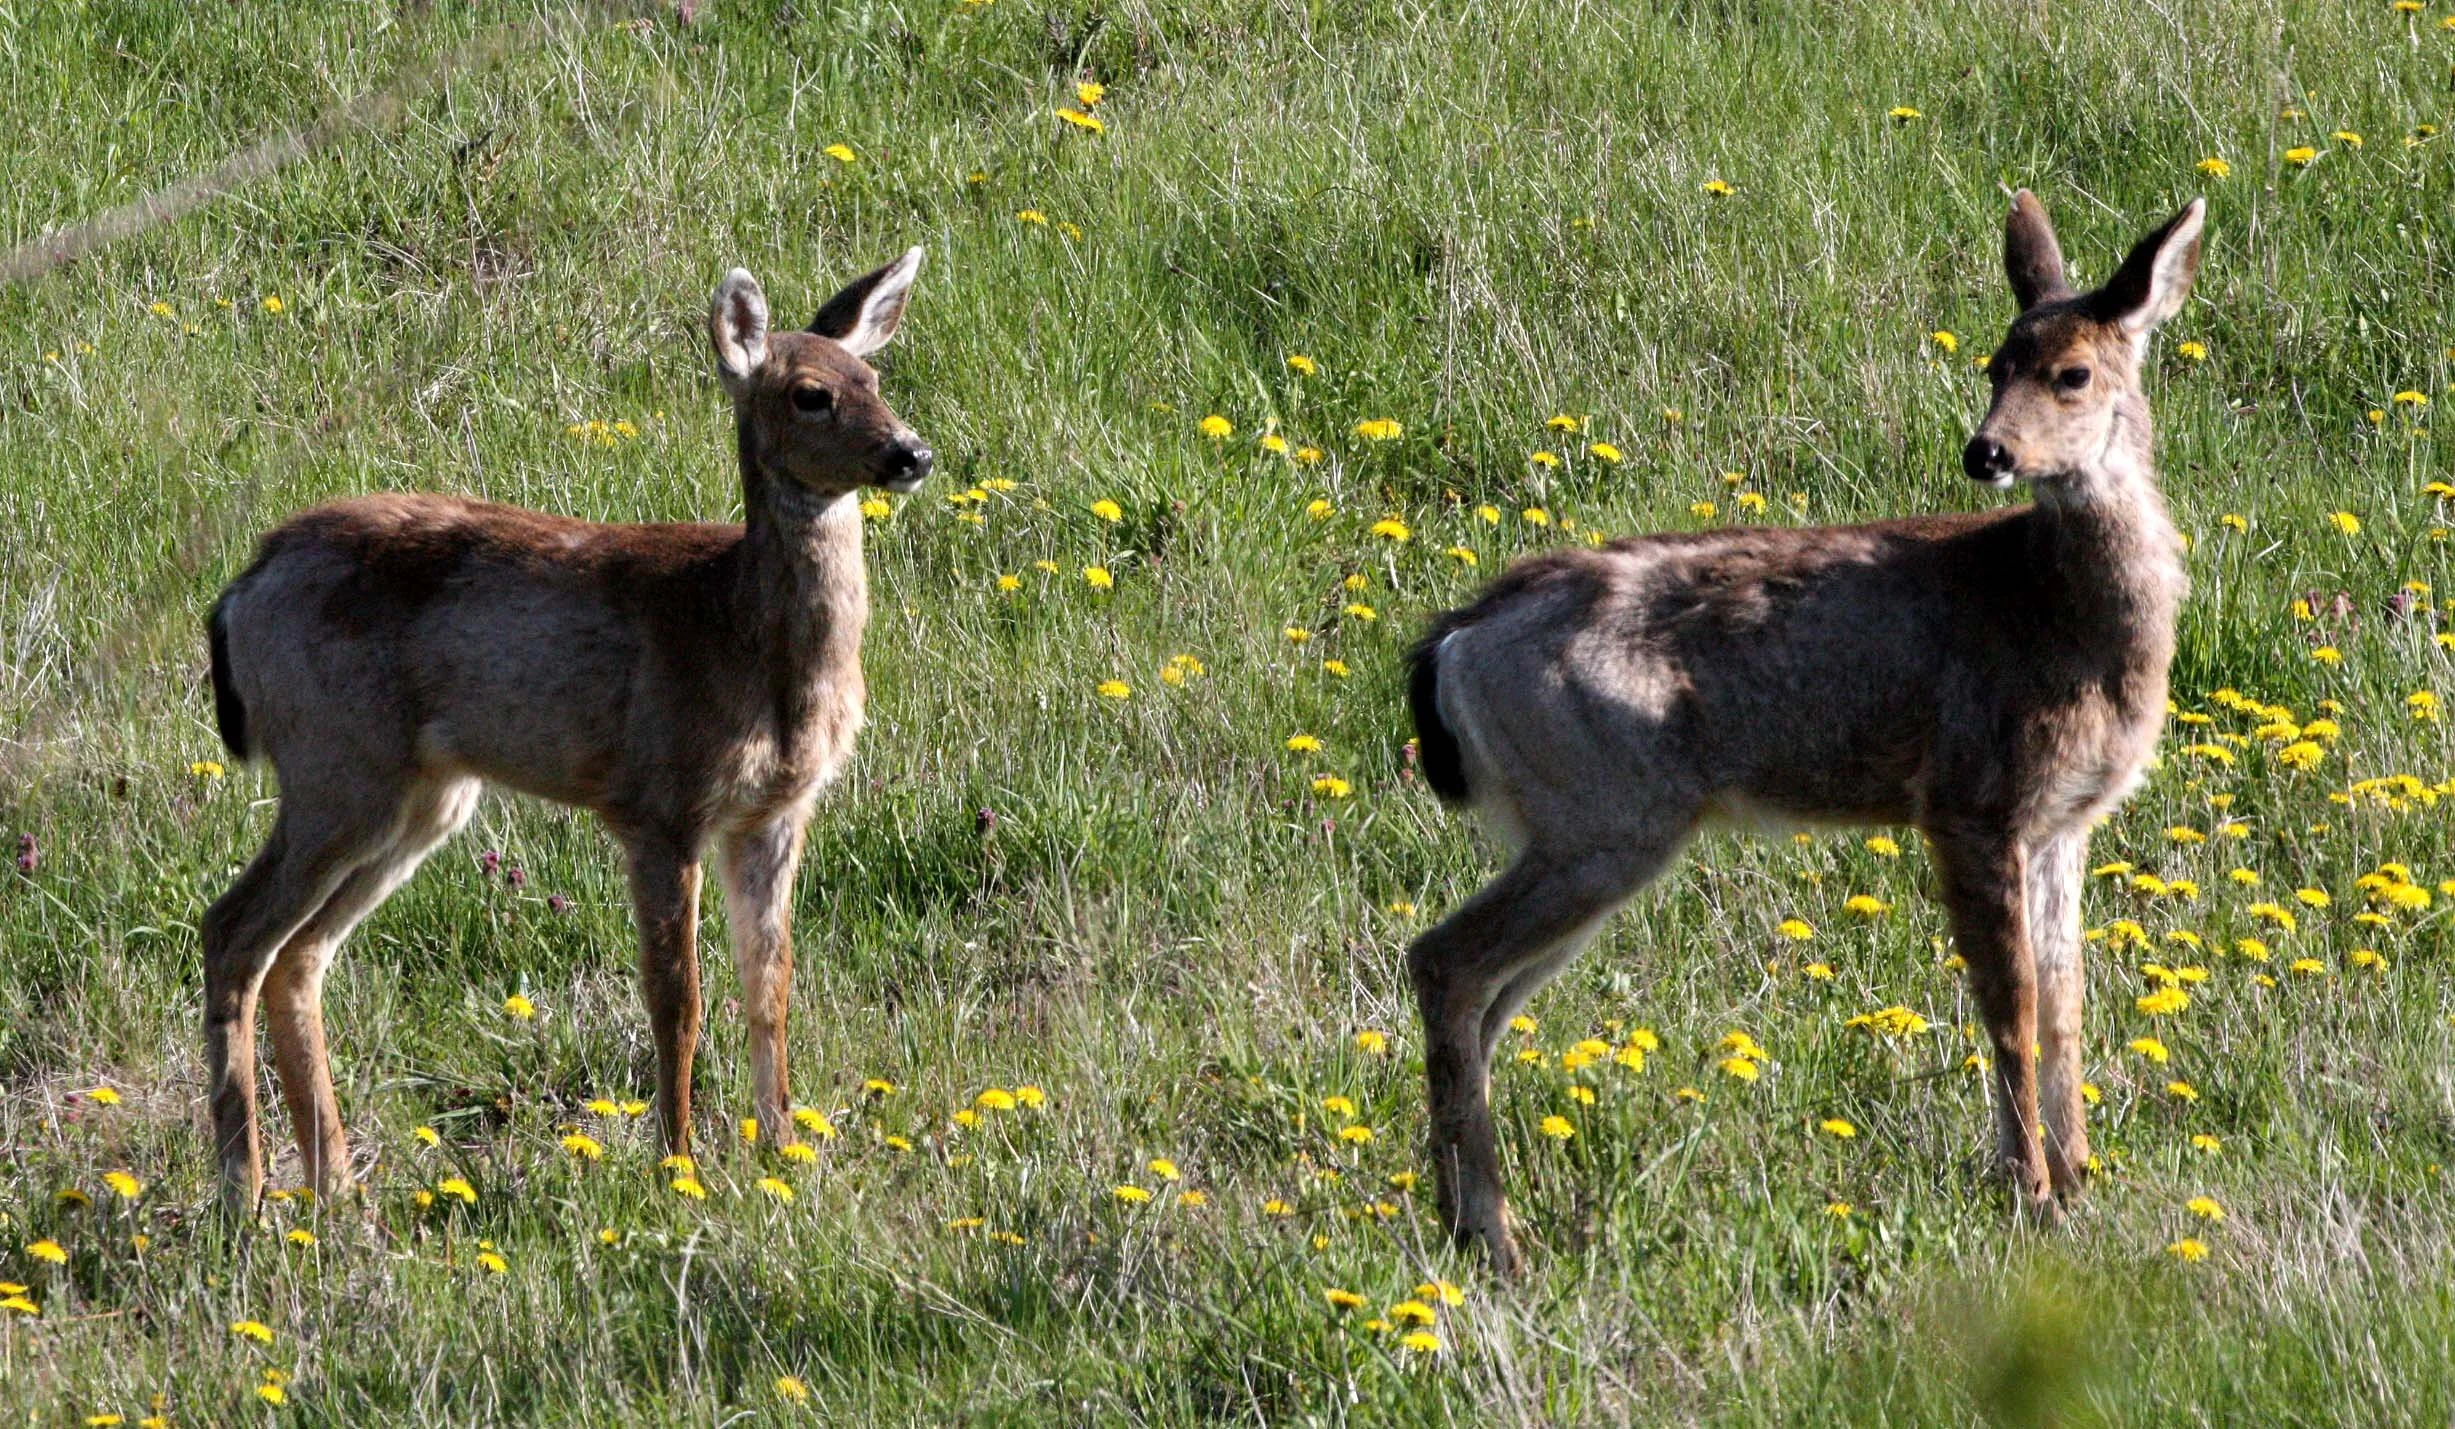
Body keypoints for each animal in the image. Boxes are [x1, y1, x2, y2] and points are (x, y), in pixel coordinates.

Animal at [199, 250, 932, 1211]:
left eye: (873, 378)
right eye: (810, 393)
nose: (911, 452)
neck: (735, 631)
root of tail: (240, 590)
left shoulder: (776, 812)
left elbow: (769, 988)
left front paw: (783, 1150)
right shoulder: (660, 801)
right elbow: (678, 999)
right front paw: (678, 1166)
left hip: (421, 797)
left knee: (301, 955)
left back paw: (340, 1190)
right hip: (334, 763)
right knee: (232, 931)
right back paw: (245, 1192)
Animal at [1403, 192, 2202, 1276]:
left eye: (2070, 373)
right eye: (1994, 364)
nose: (1985, 452)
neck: (2053, 612)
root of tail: (1453, 640)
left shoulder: (2062, 823)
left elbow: (2064, 998)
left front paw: (2077, 1181)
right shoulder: (1967, 796)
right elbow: (2011, 1006)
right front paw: (2029, 1192)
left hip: (1580, 827)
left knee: (1481, 997)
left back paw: (1467, 1218)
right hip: (1605, 812)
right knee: (1442, 960)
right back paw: (1492, 1235)